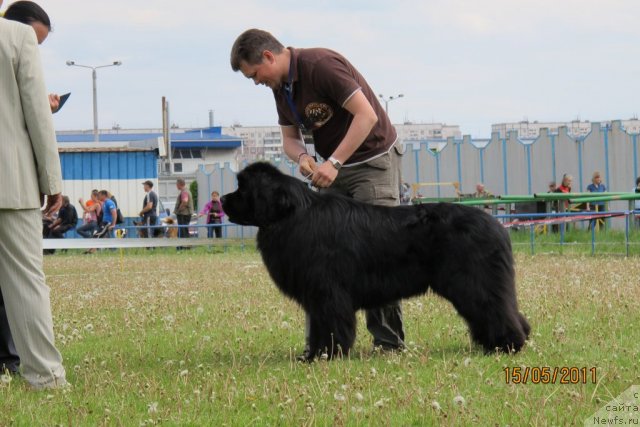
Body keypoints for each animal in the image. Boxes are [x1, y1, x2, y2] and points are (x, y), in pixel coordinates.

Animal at [222, 164, 532, 362]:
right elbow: (320, 326)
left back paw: (508, 345)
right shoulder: (316, 295)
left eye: (242, 188)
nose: (223, 199)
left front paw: (328, 355)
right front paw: (313, 355)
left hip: (472, 283)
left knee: (494, 309)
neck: (292, 216)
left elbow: (332, 325)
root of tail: (497, 226)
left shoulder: (327, 293)